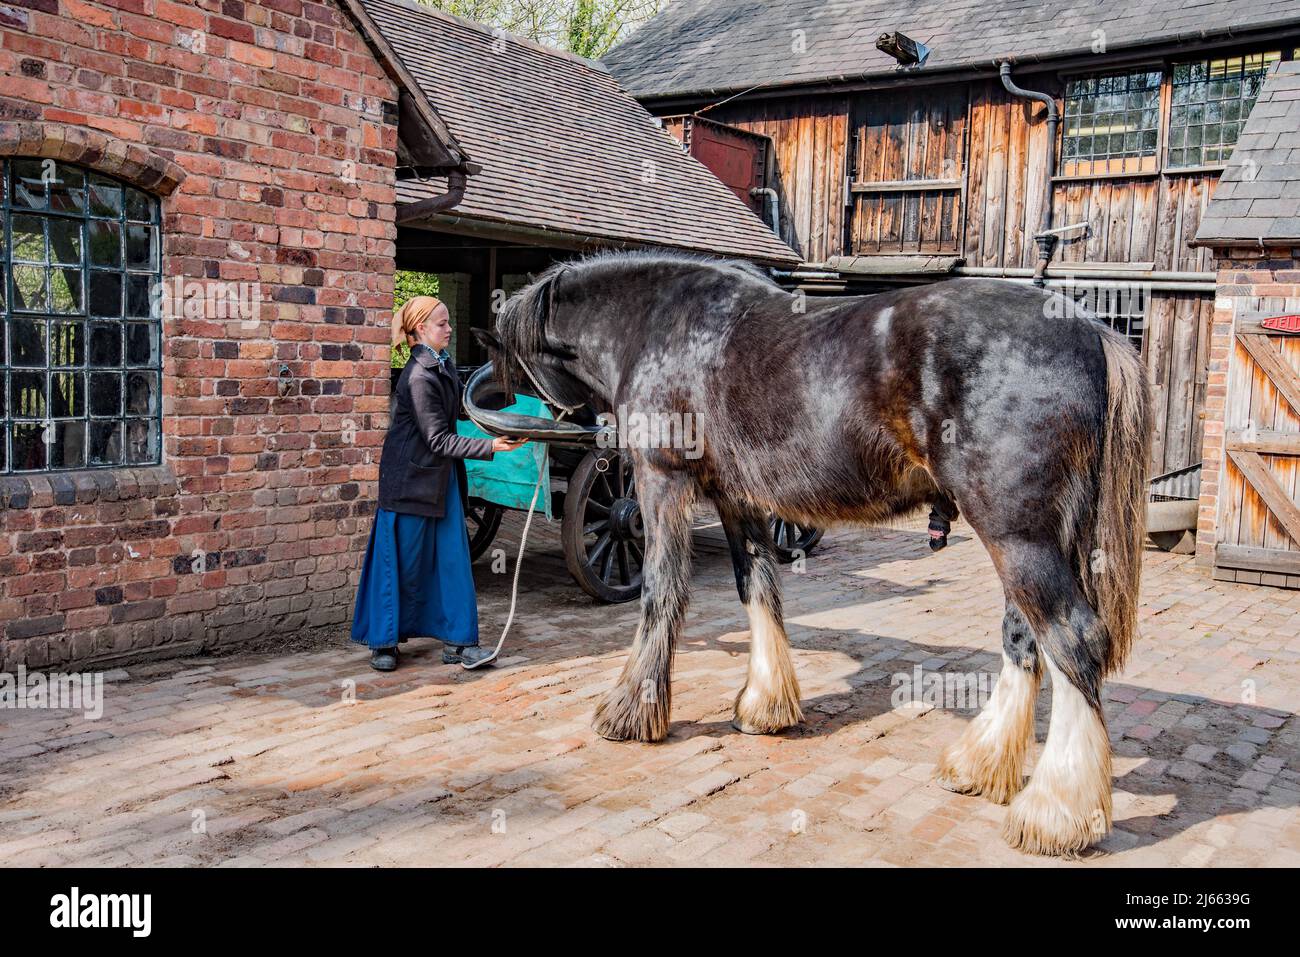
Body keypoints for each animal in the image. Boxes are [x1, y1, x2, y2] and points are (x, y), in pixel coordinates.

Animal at [478, 250, 1149, 858]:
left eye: (508, 362)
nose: (506, 430)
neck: (657, 324)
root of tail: (1089, 332)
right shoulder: (736, 498)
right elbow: (757, 588)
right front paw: (766, 705)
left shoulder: (660, 481)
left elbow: (660, 592)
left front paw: (628, 713)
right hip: (1032, 535)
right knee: (1024, 638)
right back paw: (979, 765)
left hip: (1017, 532)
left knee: (1072, 640)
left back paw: (1056, 814)